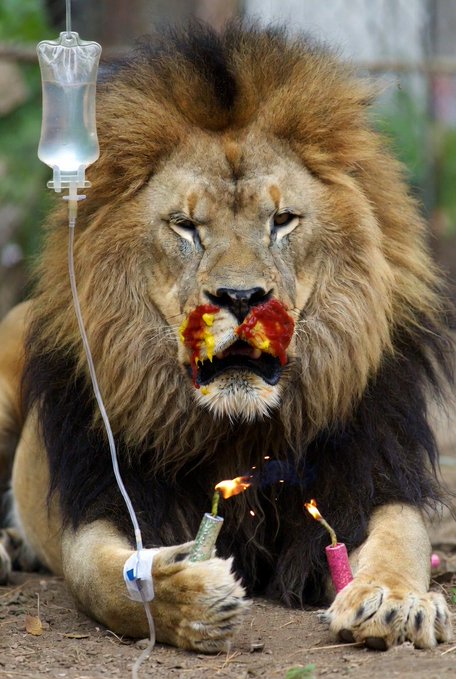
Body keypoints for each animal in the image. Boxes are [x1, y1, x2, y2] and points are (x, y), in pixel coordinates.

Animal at [0, 23, 453, 652]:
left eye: (282, 220)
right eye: (187, 227)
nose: (241, 298)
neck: (240, 429)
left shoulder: (372, 476)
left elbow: (402, 536)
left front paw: (393, 598)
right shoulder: (106, 499)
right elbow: (99, 577)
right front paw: (184, 596)